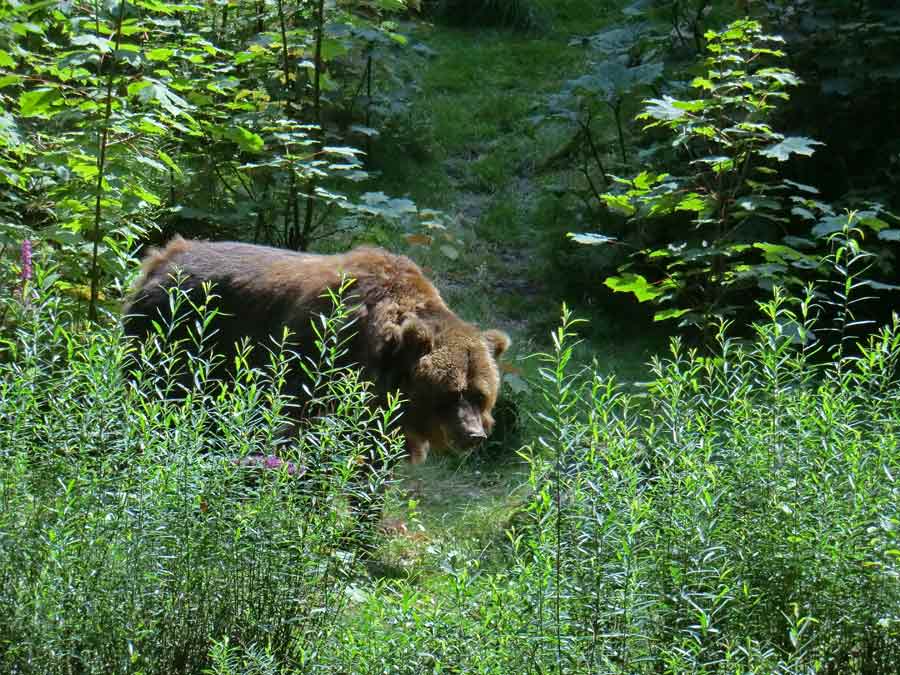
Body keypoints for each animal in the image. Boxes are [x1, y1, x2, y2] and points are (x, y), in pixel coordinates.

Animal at [123, 238, 510, 464]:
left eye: (480, 395)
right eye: (451, 392)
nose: (473, 435)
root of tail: (158, 259)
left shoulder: (380, 419)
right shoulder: (319, 368)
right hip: (176, 336)